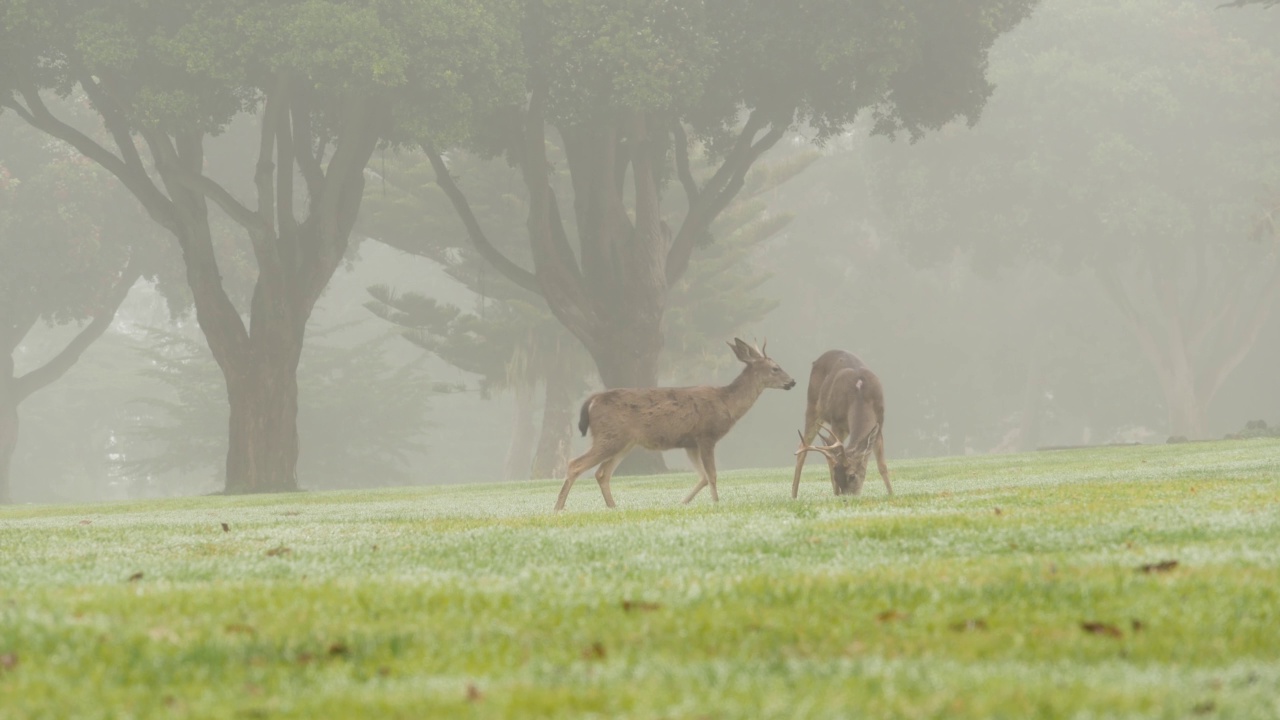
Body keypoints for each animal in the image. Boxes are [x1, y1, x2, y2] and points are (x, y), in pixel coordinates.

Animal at [555, 338, 793, 509]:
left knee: (602, 473)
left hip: (624, 442)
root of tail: (593, 400)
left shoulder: (690, 443)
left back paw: (613, 507)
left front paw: (683, 502)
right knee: (575, 464)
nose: (792, 381)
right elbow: (712, 475)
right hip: (610, 436)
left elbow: (703, 477)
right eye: (775, 368)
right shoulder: (706, 435)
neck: (727, 403)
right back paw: (558, 507)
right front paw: (716, 503)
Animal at [788, 348, 890, 497]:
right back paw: (794, 495)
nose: (847, 497)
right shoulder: (836, 421)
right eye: (837, 477)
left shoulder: (879, 422)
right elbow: (834, 457)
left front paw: (892, 494)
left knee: (826, 448)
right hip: (813, 405)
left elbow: (882, 466)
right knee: (803, 447)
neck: (860, 396)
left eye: (852, 476)